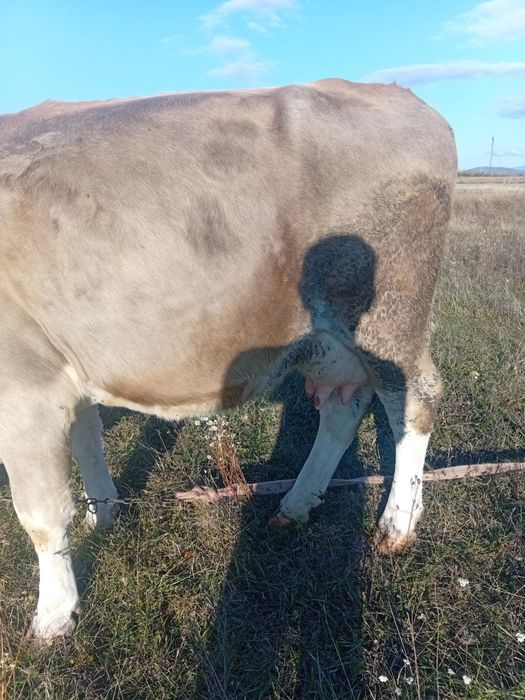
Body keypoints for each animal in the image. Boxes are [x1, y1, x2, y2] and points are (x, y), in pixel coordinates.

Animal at [0, 79, 457, 641]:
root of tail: (396, 92)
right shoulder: (65, 363)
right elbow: (86, 442)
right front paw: (101, 514)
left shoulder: (24, 388)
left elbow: (40, 515)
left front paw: (54, 613)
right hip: (334, 344)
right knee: (341, 414)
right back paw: (295, 504)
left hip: (393, 317)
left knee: (415, 402)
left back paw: (397, 524)